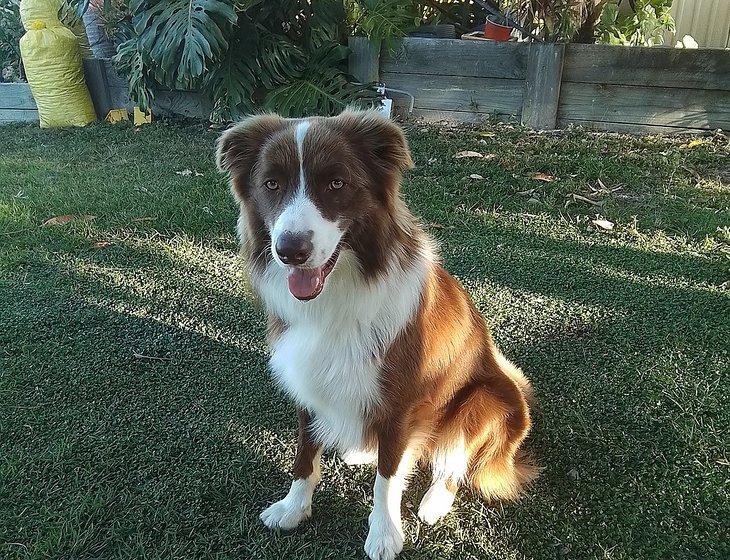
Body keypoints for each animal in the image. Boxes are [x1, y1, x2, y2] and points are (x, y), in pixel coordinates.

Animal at [216, 110, 536, 560]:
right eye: (271, 184)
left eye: (336, 183)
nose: (290, 250)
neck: (337, 295)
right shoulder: (308, 382)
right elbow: (304, 454)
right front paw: (294, 508)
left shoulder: (401, 401)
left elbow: (389, 476)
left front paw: (385, 532)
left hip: (484, 402)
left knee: (451, 463)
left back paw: (434, 500)